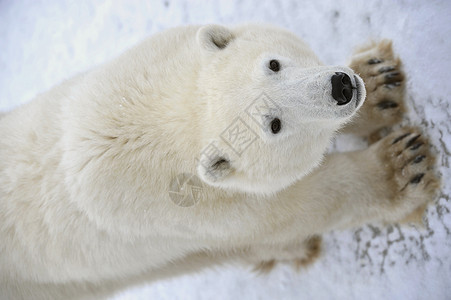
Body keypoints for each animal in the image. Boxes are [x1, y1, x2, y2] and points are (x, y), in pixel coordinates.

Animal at [0, 24, 440, 298]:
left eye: (273, 63)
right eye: (274, 125)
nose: (341, 86)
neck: (169, 119)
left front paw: (381, 82)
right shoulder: (196, 208)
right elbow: (296, 205)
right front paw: (402, 165)